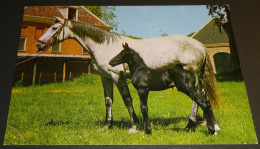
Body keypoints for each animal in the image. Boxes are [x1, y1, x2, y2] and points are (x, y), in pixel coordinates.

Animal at [36, 16, 219, 134]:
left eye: (54, 28)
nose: (39, 44)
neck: (104, 46)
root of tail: (200, 45)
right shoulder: (105, 78)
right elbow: (108, 101)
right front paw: (106, 126)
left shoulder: (118, 77)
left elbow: (127, 100)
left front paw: (134, 126)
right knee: (203, 97)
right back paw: (208, 124)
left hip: (191, 76)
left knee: (198, 99)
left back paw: (192, 125)